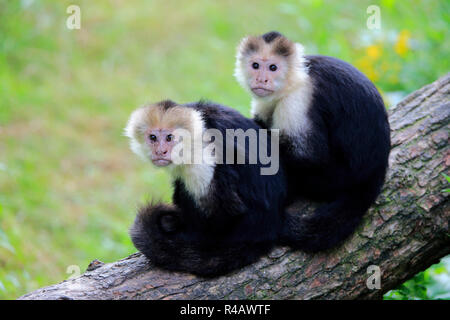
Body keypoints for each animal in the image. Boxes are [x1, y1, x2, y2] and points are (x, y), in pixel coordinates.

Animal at [236, 31, 390, 252]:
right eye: (255, 65)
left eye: (273, 68)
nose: (261, 79)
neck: (292, 81)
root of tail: (377, 167)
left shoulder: (297, 100)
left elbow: (310, 156)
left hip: (336, 178)